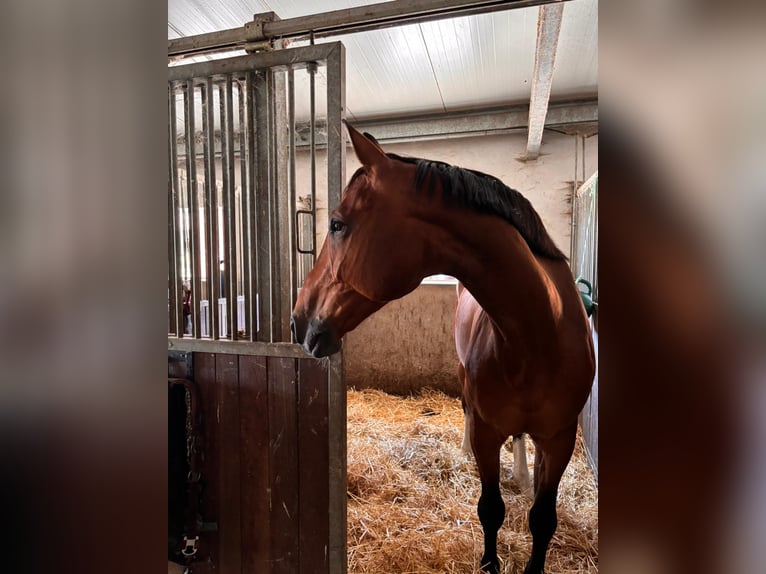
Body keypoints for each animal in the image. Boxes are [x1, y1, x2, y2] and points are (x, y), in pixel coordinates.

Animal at [292, 122, 596, 574]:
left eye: (337, 224)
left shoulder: (559, 439)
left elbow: (543, 517)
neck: (539, 333)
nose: (298, 321)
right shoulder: (489, 432)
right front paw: (490, 563)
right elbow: (491, 508)